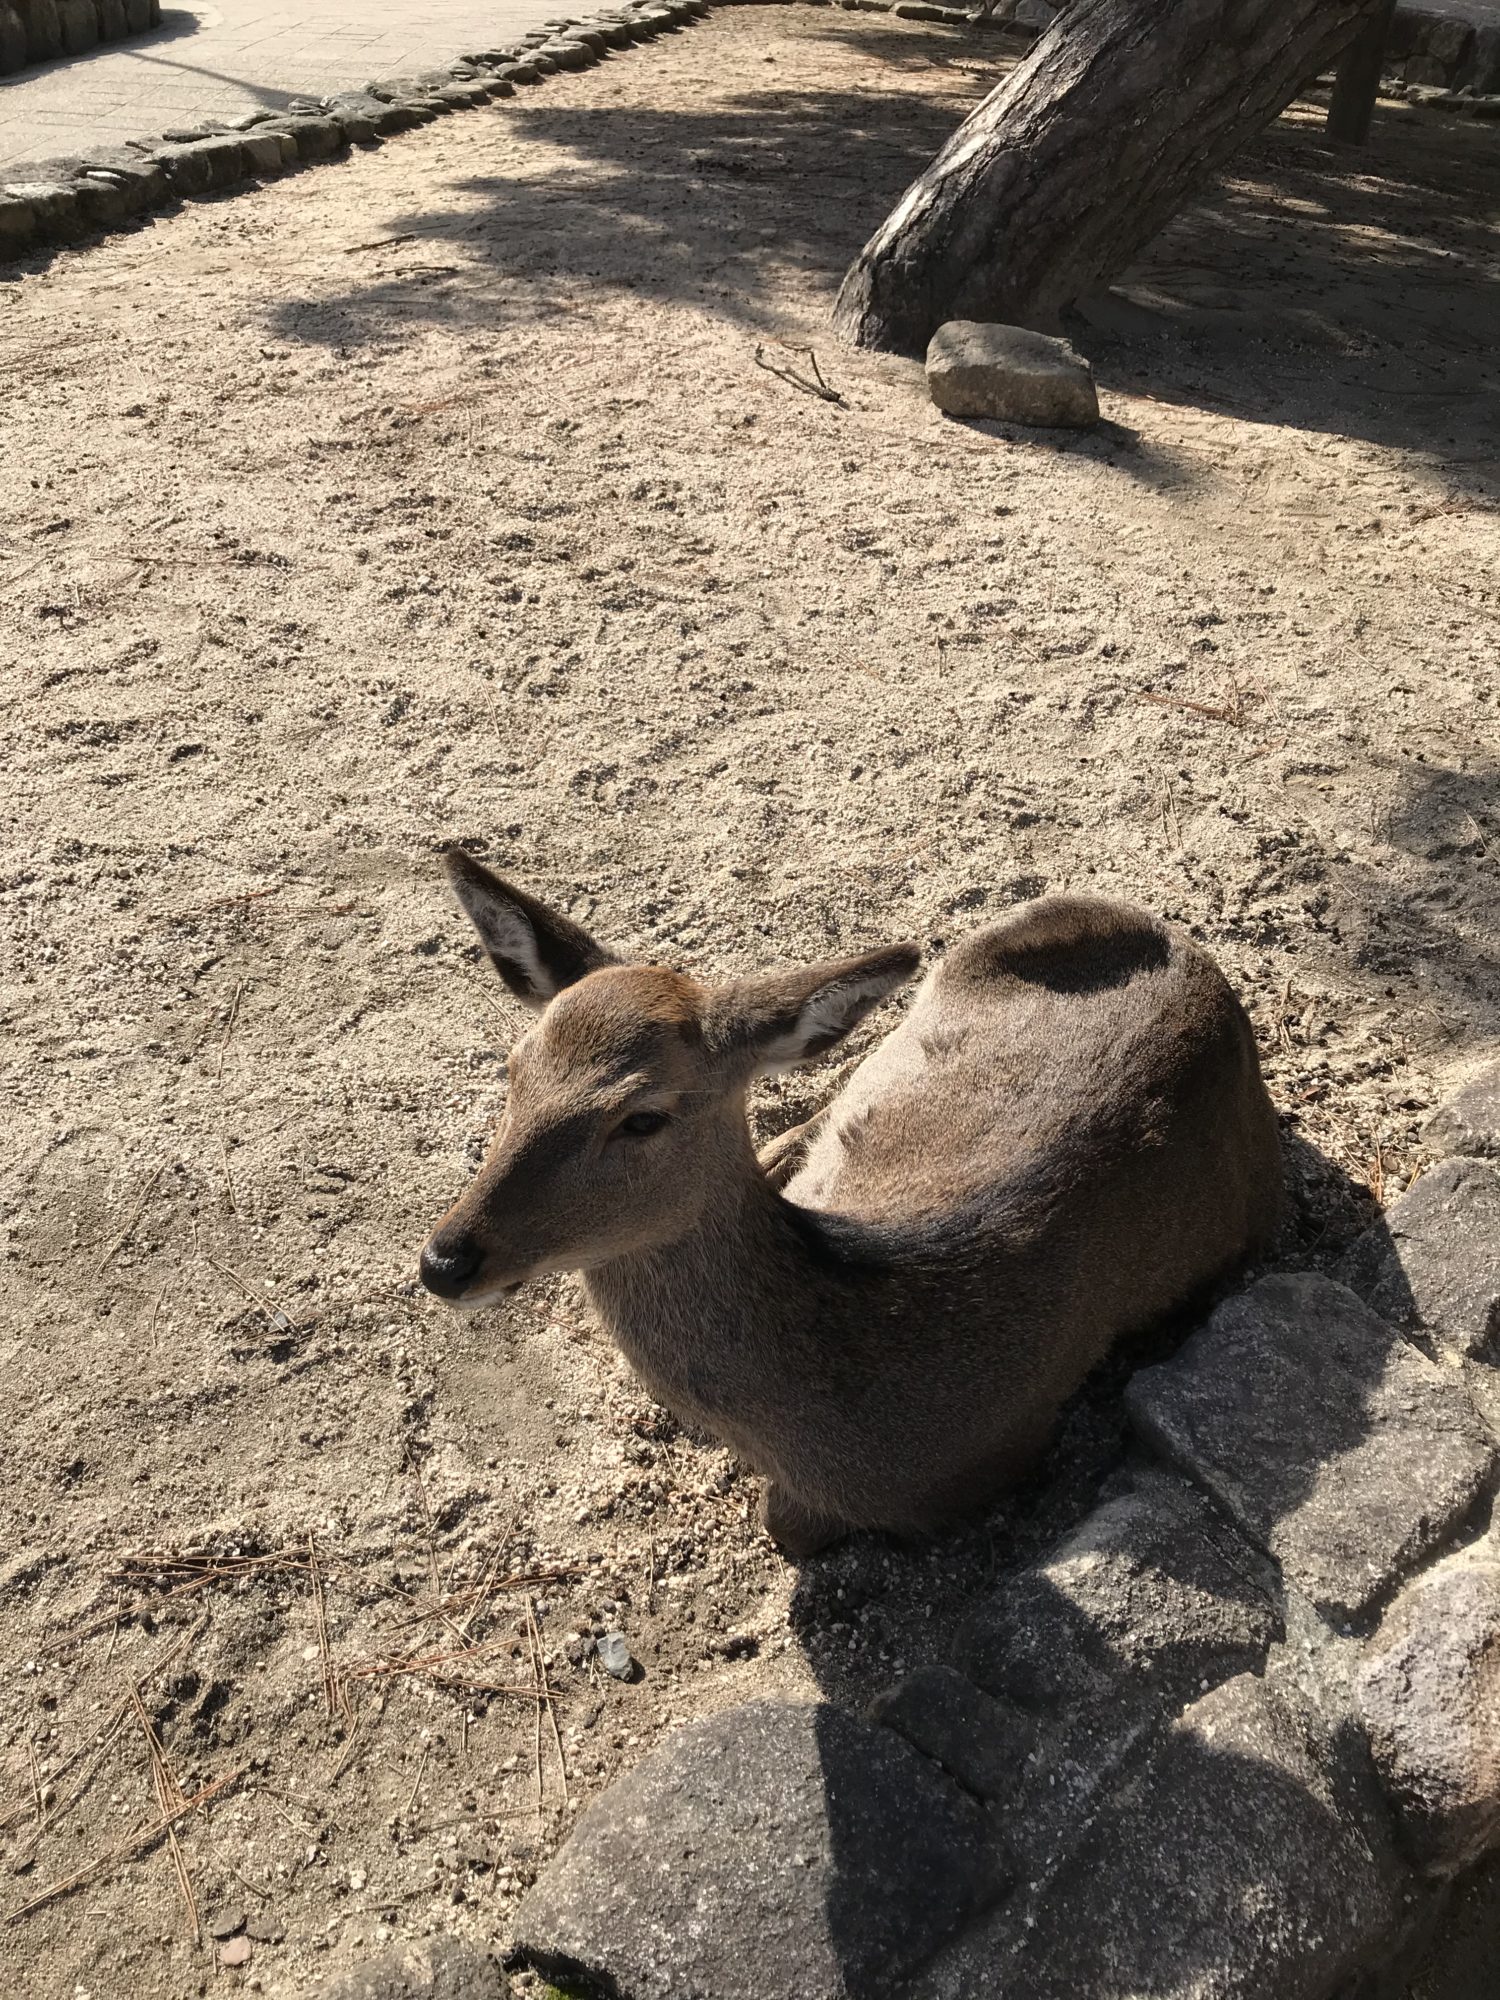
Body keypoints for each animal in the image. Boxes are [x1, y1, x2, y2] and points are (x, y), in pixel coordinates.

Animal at [418, 852, 1288, 1552]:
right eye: (514, 1068)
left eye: (642, 1116)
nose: (445, 1260)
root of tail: (1191, 952)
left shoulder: (989, 1459)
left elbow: (786, 1527)